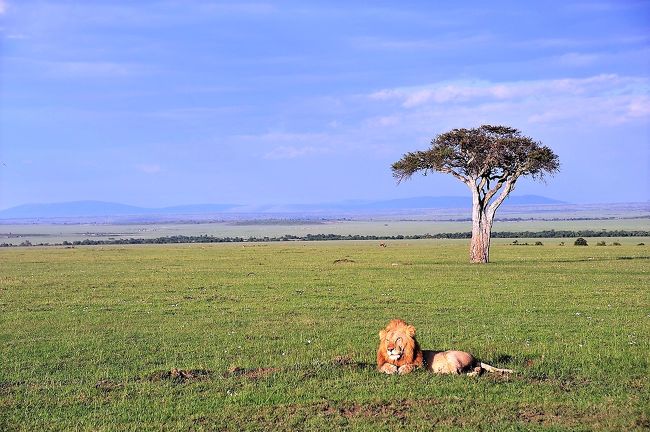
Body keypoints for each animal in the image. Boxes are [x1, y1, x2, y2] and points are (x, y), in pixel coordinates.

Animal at [374, 318, 512, 376]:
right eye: (387, 340)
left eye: (398, 339)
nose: (390, 349)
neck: (399, 359)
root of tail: (475, 358)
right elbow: (385, 366)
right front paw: (391, 369)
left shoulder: (421, 366)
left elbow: (411, 366)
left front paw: (402, 369)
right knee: (477, 370)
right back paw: (471, 374)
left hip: (451, 356)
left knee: (456, 372)